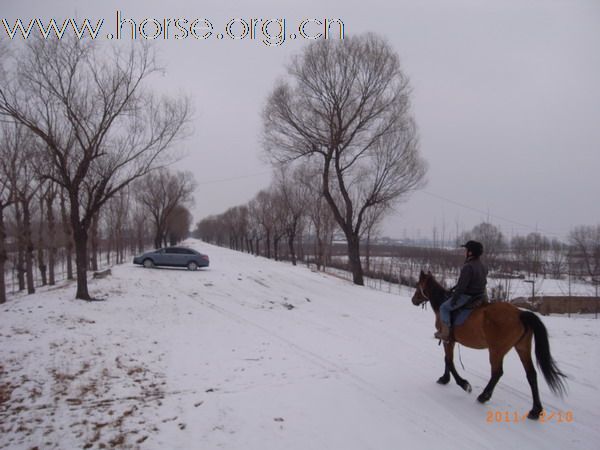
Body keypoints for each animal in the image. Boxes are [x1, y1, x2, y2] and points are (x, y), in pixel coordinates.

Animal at [410, 268, 564, 420]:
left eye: (418, 285)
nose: (413, 300)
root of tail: (520, 314)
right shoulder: (449, 341)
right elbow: (447, 360)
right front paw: (444, 379)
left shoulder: (448, 340)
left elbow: (449, 360)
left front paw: (464, 384)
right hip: (522, 347)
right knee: (531, 374)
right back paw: (535, 410)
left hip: (496, 350)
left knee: (497, 372)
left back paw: (483, 396)